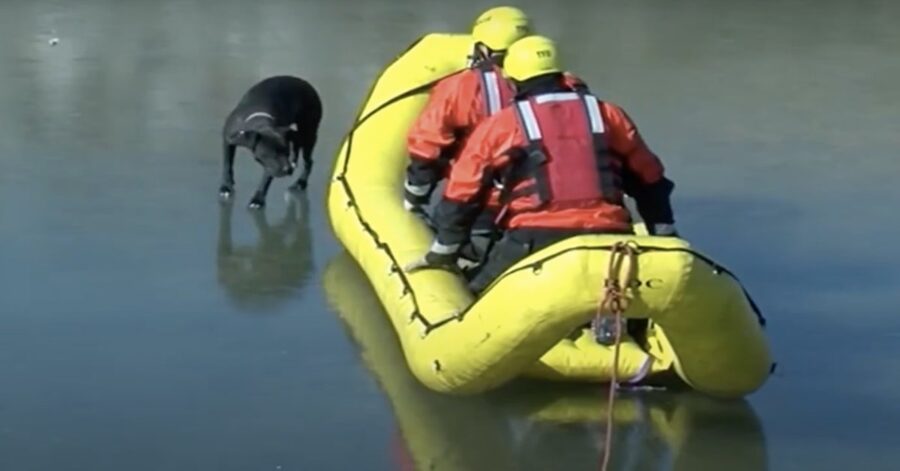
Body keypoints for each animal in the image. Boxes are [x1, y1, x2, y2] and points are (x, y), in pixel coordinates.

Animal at [220, 75, 322, 208]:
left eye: (286, 153)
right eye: (271, 155)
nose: (287, 170)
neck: (259, 123)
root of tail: (307, 84)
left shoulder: (271, 165)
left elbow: (266, 178)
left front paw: (258, 199)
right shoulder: (228, 141)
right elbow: (227, 164)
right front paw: (226, 186)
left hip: (308, 134)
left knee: (308, 162)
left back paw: (300, 183)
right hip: (296, 133)